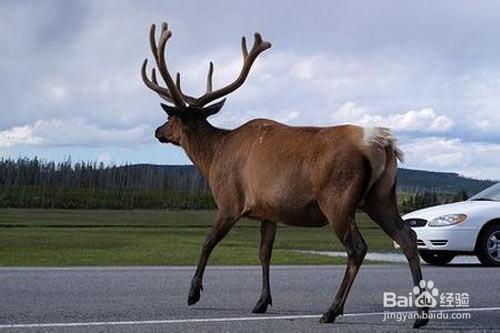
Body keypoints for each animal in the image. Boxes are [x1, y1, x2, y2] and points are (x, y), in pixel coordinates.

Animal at [142, 21, 430, 326]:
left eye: (170, 118)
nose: (158, 131)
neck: (212, 158)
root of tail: (382, 144)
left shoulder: (230, 202)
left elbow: (207, 242)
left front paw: (193, 293)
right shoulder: (268, 211)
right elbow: (264, 253)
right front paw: (262, 301)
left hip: (338, 198)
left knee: (357, 247)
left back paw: (332, 309)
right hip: (381, 196)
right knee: (407, 237)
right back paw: (421, 314)